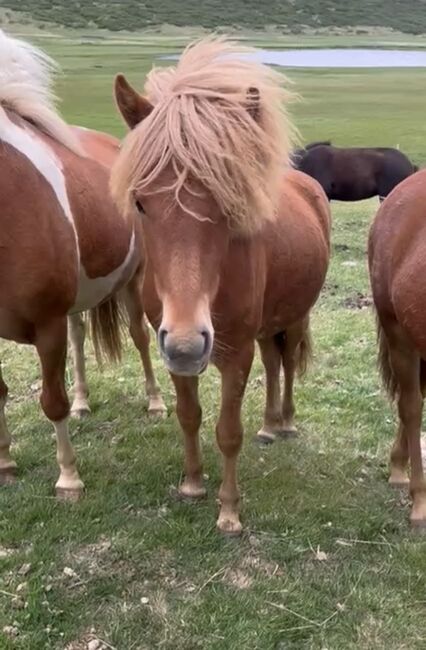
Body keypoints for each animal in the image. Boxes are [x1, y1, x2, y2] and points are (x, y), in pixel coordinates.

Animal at [0, 30, 162, 496]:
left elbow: (50, 402)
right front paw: (4, 462)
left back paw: (155, 401)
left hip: (133, 283)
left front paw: (69, 477)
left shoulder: (46, 324)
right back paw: (83, 402)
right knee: (78, 339)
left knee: (140, 338)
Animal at [111, 40, 332, 536]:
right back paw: (269, 425)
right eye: (140, 202)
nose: (189, 343)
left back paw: (286, 422)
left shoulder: (235, 355)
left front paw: (229, 511)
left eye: (229, 201)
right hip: (265, 326)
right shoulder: (172, 347)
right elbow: (188, 415)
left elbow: (229, 432)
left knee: (288, 362)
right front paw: (193, 483)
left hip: (295, 316)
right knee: (274, 362)